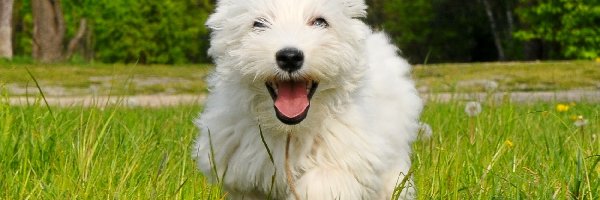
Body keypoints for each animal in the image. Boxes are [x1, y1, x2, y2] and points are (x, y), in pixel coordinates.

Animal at [192, 0, 422, 199]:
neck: (290, 132)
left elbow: (322, 181)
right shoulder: (243, 175)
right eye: (259, 23)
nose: (290, 57)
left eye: (320, 22)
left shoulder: (344, 157)